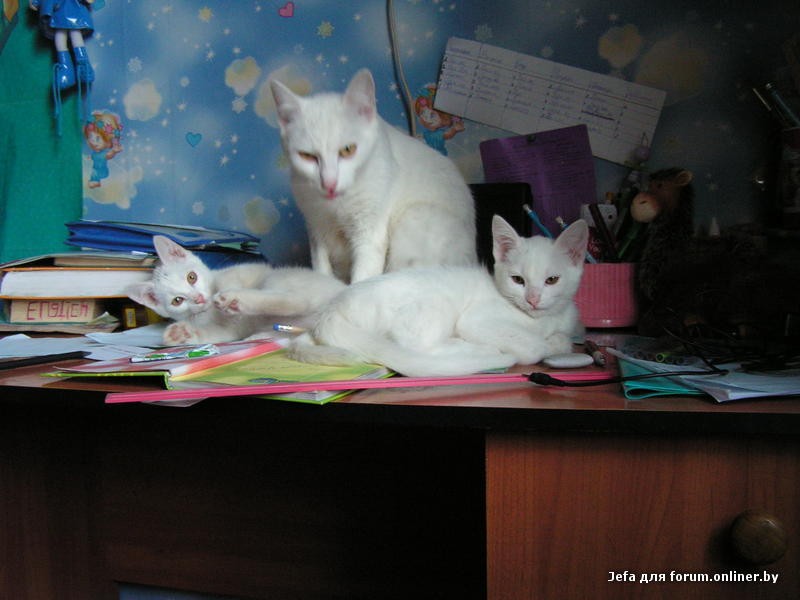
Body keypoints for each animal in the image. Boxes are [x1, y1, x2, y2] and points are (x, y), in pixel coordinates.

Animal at [125, 235, 347, 345]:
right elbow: (215, 334)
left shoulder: (248, 269)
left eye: (191, 277)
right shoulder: (228, 330)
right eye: (177, 301)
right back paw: (259, 335)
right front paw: (181, 334)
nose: (199, 298)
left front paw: (224, 291)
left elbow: (228, 278)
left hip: (278, 278)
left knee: (296, 301)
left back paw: (234, 299)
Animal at [270, 68, 478, 283]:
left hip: (416, 217)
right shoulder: (316, 228)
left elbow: (362, 278)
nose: (329, 183)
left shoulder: (370, 231)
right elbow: (321, 267)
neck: (336, 207)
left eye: (348, 150)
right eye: (307, 156)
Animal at [288, 215, 589, 377]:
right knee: (413, 345)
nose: (533, 299)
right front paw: (542, 345)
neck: (540, 321)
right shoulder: (479, 319)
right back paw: (477, 350)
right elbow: (534, 346)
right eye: (518, 280)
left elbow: (565, 339)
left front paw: (558, 341)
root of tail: (331, 311)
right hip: (435, 304)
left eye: (552, 280)